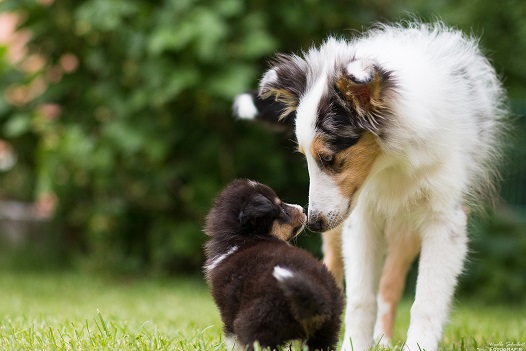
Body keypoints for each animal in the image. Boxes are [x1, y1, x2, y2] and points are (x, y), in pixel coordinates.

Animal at [204, 180, 344, 350]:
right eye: (281, 209)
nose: (303, 209)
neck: (244, 239)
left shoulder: (228, 308)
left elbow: (232, 338)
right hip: (326, 331)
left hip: (258, 322)